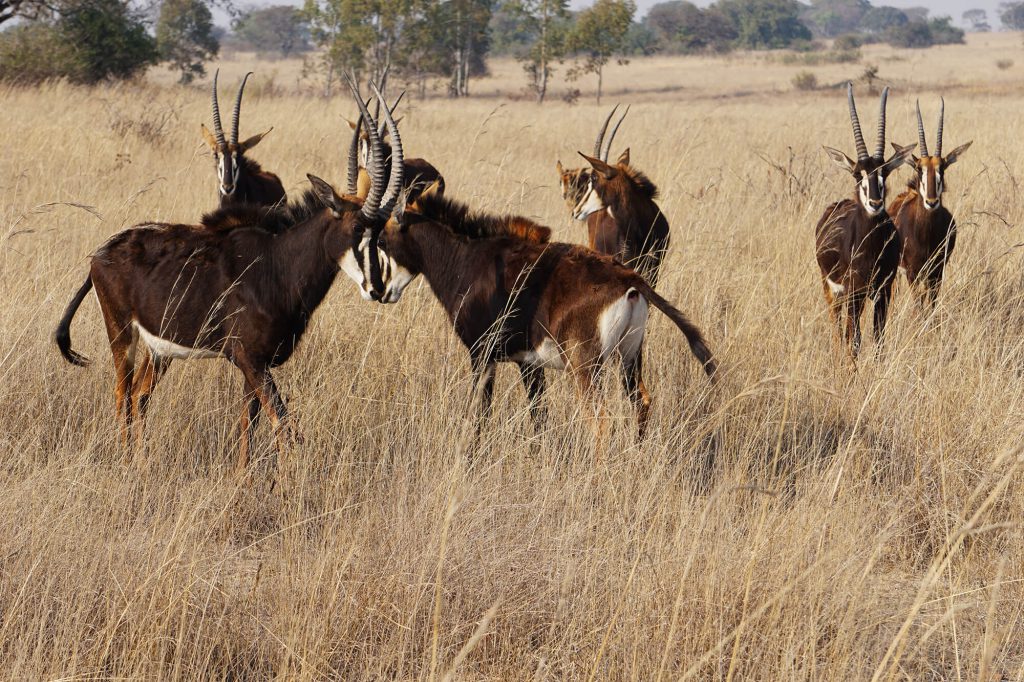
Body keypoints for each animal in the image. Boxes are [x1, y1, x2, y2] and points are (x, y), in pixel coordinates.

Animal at [353, 167, 716, 443]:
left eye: (381, 240)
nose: (380, 291)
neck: (467, 258)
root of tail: (631, 281)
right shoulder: (529, 363)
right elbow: (539, 419)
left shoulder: (481, 355)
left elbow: (480, 417)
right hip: (629, 358)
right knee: (640, 403)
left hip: (586, 367)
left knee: (601, 422)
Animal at [815, 83, 915, 357]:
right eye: (857, 174)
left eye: (885, 171)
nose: (875, 203)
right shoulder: (855, 293)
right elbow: (855, 339)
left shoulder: (884, 291)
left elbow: (879, 338)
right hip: (832, 290)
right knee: (837, 328)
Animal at [887, 98, 972, 308]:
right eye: (919, 168)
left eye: (943, 167)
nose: (931, 202)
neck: (925, 234)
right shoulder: (912, 272)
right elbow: (919, 305)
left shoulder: (937, 271)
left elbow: (931, 304)